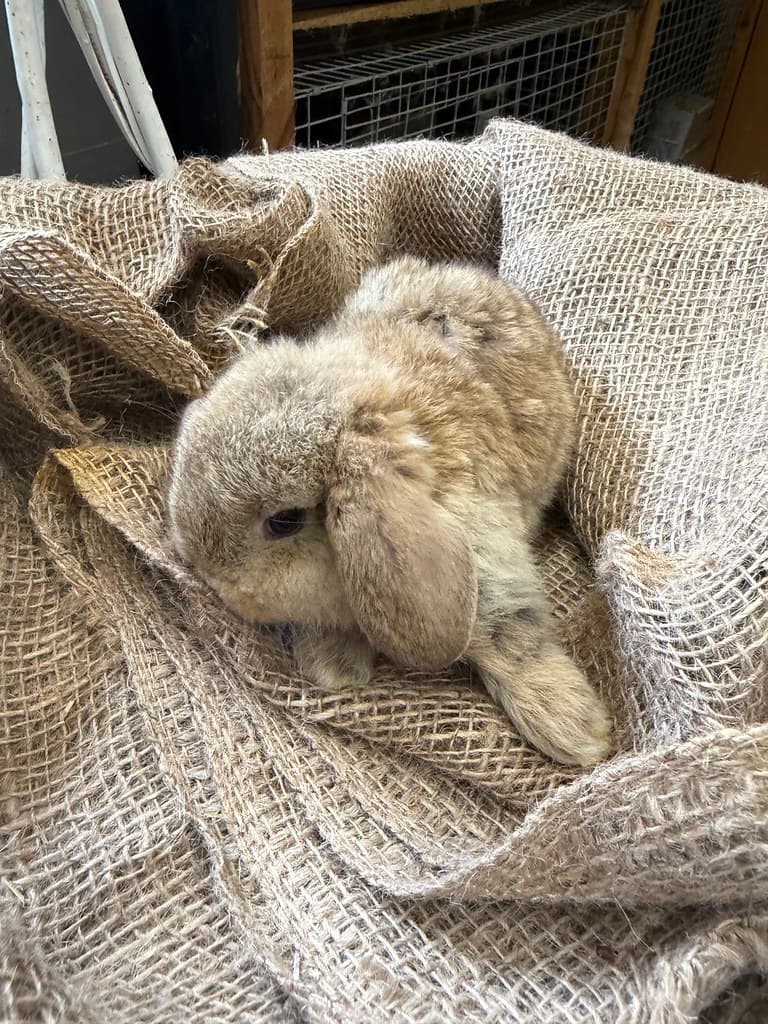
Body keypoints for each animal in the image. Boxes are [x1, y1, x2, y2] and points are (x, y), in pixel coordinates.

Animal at [168, 257, 611, 766]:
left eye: (284, 521)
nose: (212, 578)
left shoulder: (487, 558)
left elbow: (509, 639)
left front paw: (576, 730)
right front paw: (334, 666)